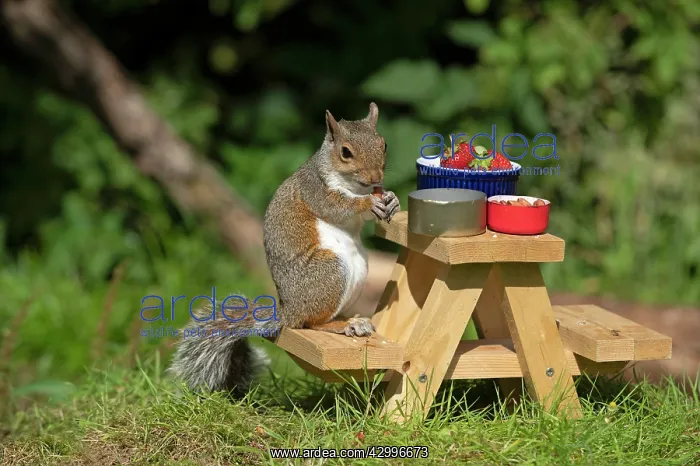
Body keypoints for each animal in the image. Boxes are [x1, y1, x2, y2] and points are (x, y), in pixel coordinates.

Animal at [167, 103, 400, 397]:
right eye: (345, 152)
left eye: (384, 144)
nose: (375, 178)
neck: (353, 185)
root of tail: (288, 312)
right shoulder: (315, 190)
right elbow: (337, 206)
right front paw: (368, 202)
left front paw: (392, 199)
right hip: (330, 271)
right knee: (311, 322)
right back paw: (342, 325)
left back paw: (354, 320)